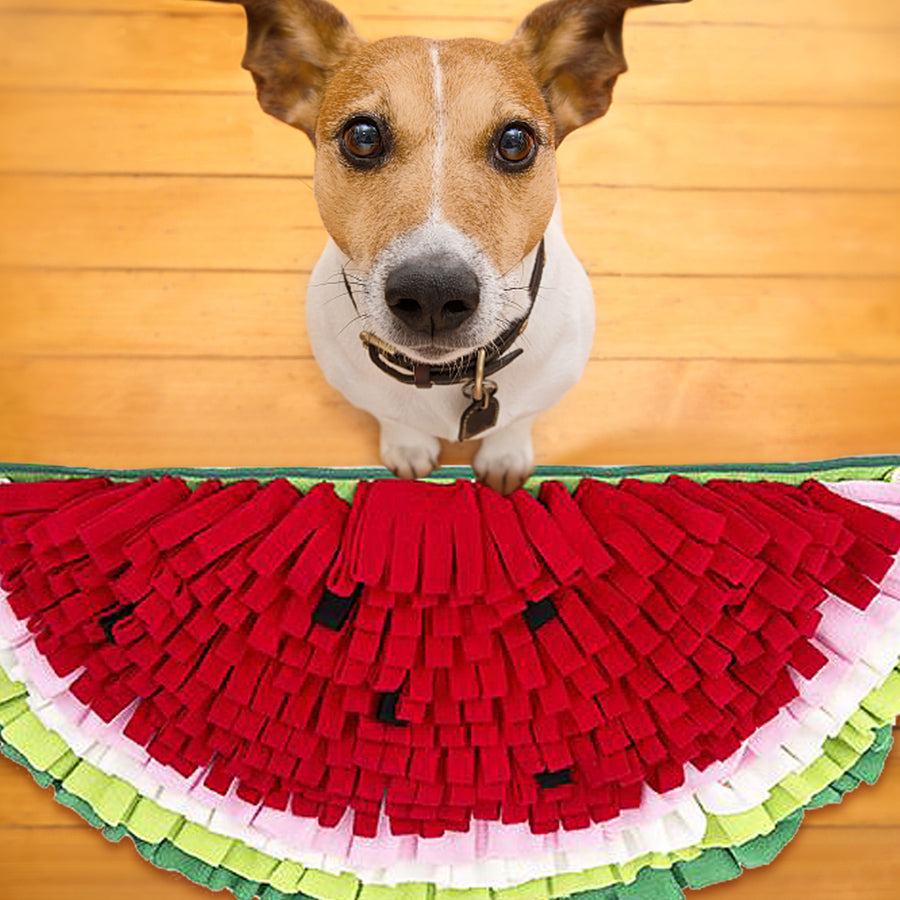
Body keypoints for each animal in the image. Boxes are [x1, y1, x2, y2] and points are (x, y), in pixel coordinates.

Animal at [200, 0, 688, 492]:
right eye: (363, 136)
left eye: (516, 141)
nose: (432, 293)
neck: (450, 375)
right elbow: (394, 418)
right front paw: (408, 450)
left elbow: (515, 421)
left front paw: (505, 457)